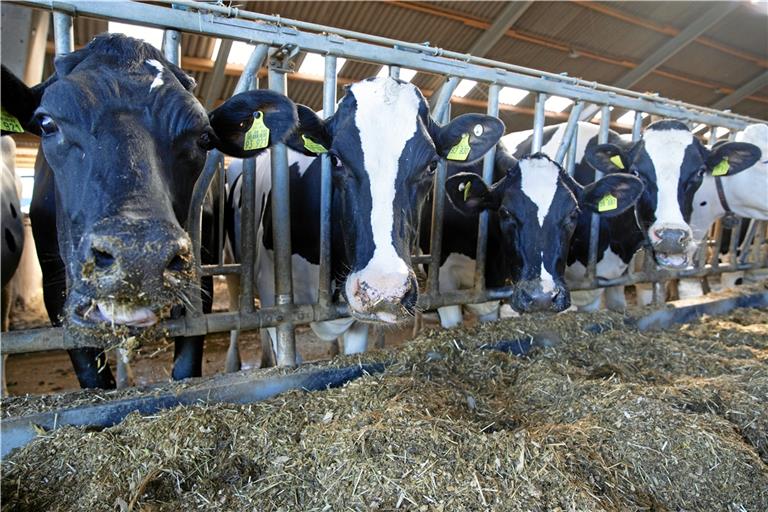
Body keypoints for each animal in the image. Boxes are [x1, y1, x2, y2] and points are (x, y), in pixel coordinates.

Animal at [0, 34, 300, 388]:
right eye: (47, 123)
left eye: (204, 137)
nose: (139, 257)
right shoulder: (54, 287)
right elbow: (91, 372)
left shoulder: (199, 276)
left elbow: (187, 364)